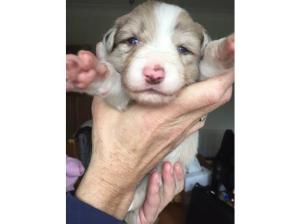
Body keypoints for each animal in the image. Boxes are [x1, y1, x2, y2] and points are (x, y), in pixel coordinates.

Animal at [69, 0, 232, 223]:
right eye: (132, 40)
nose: (153, 74)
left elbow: (207, 65)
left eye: (183, 49)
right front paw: (93, 72)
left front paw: (223, 51)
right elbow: (113, 82)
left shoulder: (201, 76)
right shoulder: (122, 98)